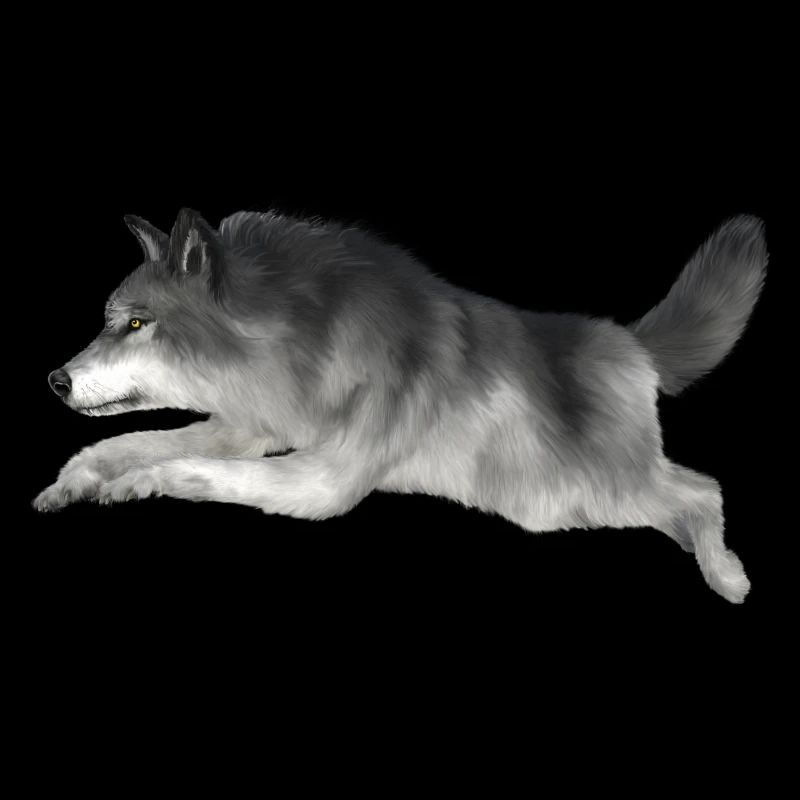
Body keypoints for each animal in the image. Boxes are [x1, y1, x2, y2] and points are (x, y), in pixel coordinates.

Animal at [33, 208, 767, 602]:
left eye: (136, 323)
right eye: (110, 321)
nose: (54, 380)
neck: (305, 339)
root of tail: (632, 343)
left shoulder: (323, 482)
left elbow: (194, 471)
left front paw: (131, 486)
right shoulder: (250, 428)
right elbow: (128, 443)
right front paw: (72, 483)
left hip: (591, 493)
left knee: (704, 490)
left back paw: (729, 577)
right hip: (576, 503)